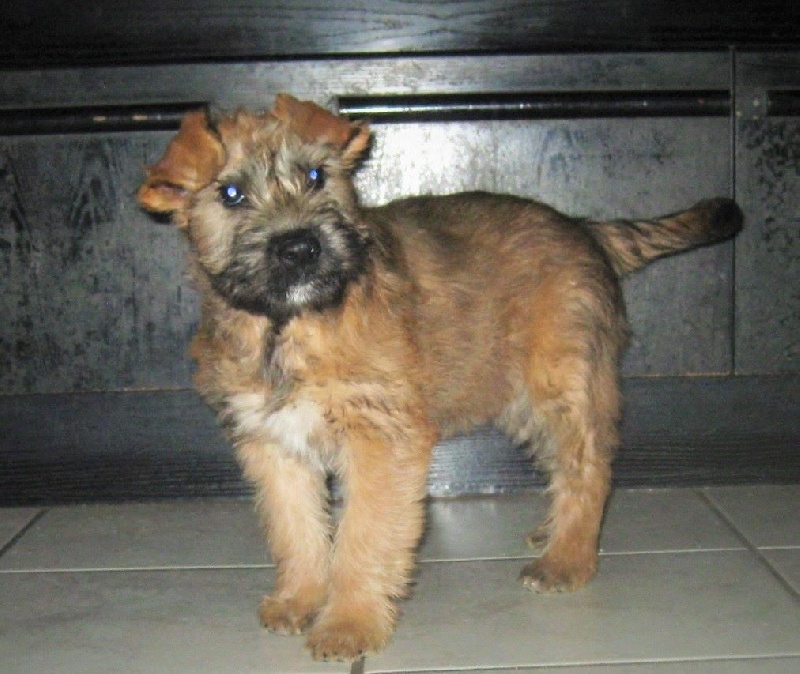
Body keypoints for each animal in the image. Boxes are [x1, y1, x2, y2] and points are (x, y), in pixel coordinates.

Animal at [138, 94, 742, 661]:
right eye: (230, 194)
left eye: (316, 176)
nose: (300, 247)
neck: (288, 328)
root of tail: (584, 228)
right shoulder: (274, 446)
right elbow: (297, 529)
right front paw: (299, 599)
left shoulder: (381, 442)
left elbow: (361, 539)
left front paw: (349, 624)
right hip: (523, 401)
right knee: (565, 468)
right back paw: (556, 536)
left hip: (562, 386)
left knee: (588, 470)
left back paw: (567, 560)